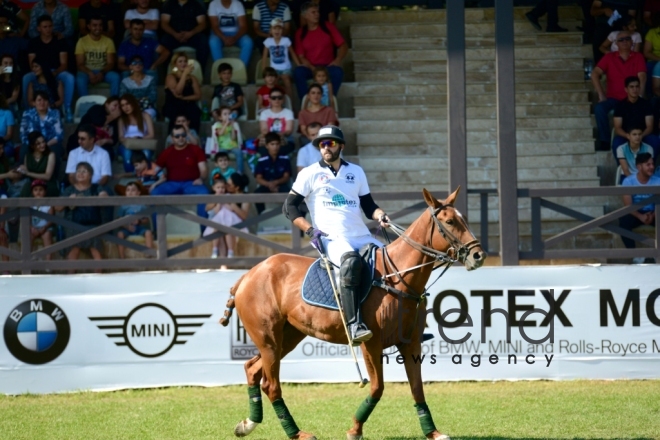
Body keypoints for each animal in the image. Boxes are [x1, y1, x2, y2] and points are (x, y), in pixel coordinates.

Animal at [220, 188, 484, 440]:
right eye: (449, 221)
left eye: (464, 219)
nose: (478, 255)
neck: (399, 277)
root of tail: (247, 275)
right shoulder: (371, 344)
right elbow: (377, 387)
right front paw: (355, 429)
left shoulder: (410, 344)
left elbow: (417, 388)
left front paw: (433, 432)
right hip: (268, 339)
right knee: (271, 384)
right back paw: (296, 433)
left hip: (287, 336)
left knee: (253, 369)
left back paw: (248, 424)